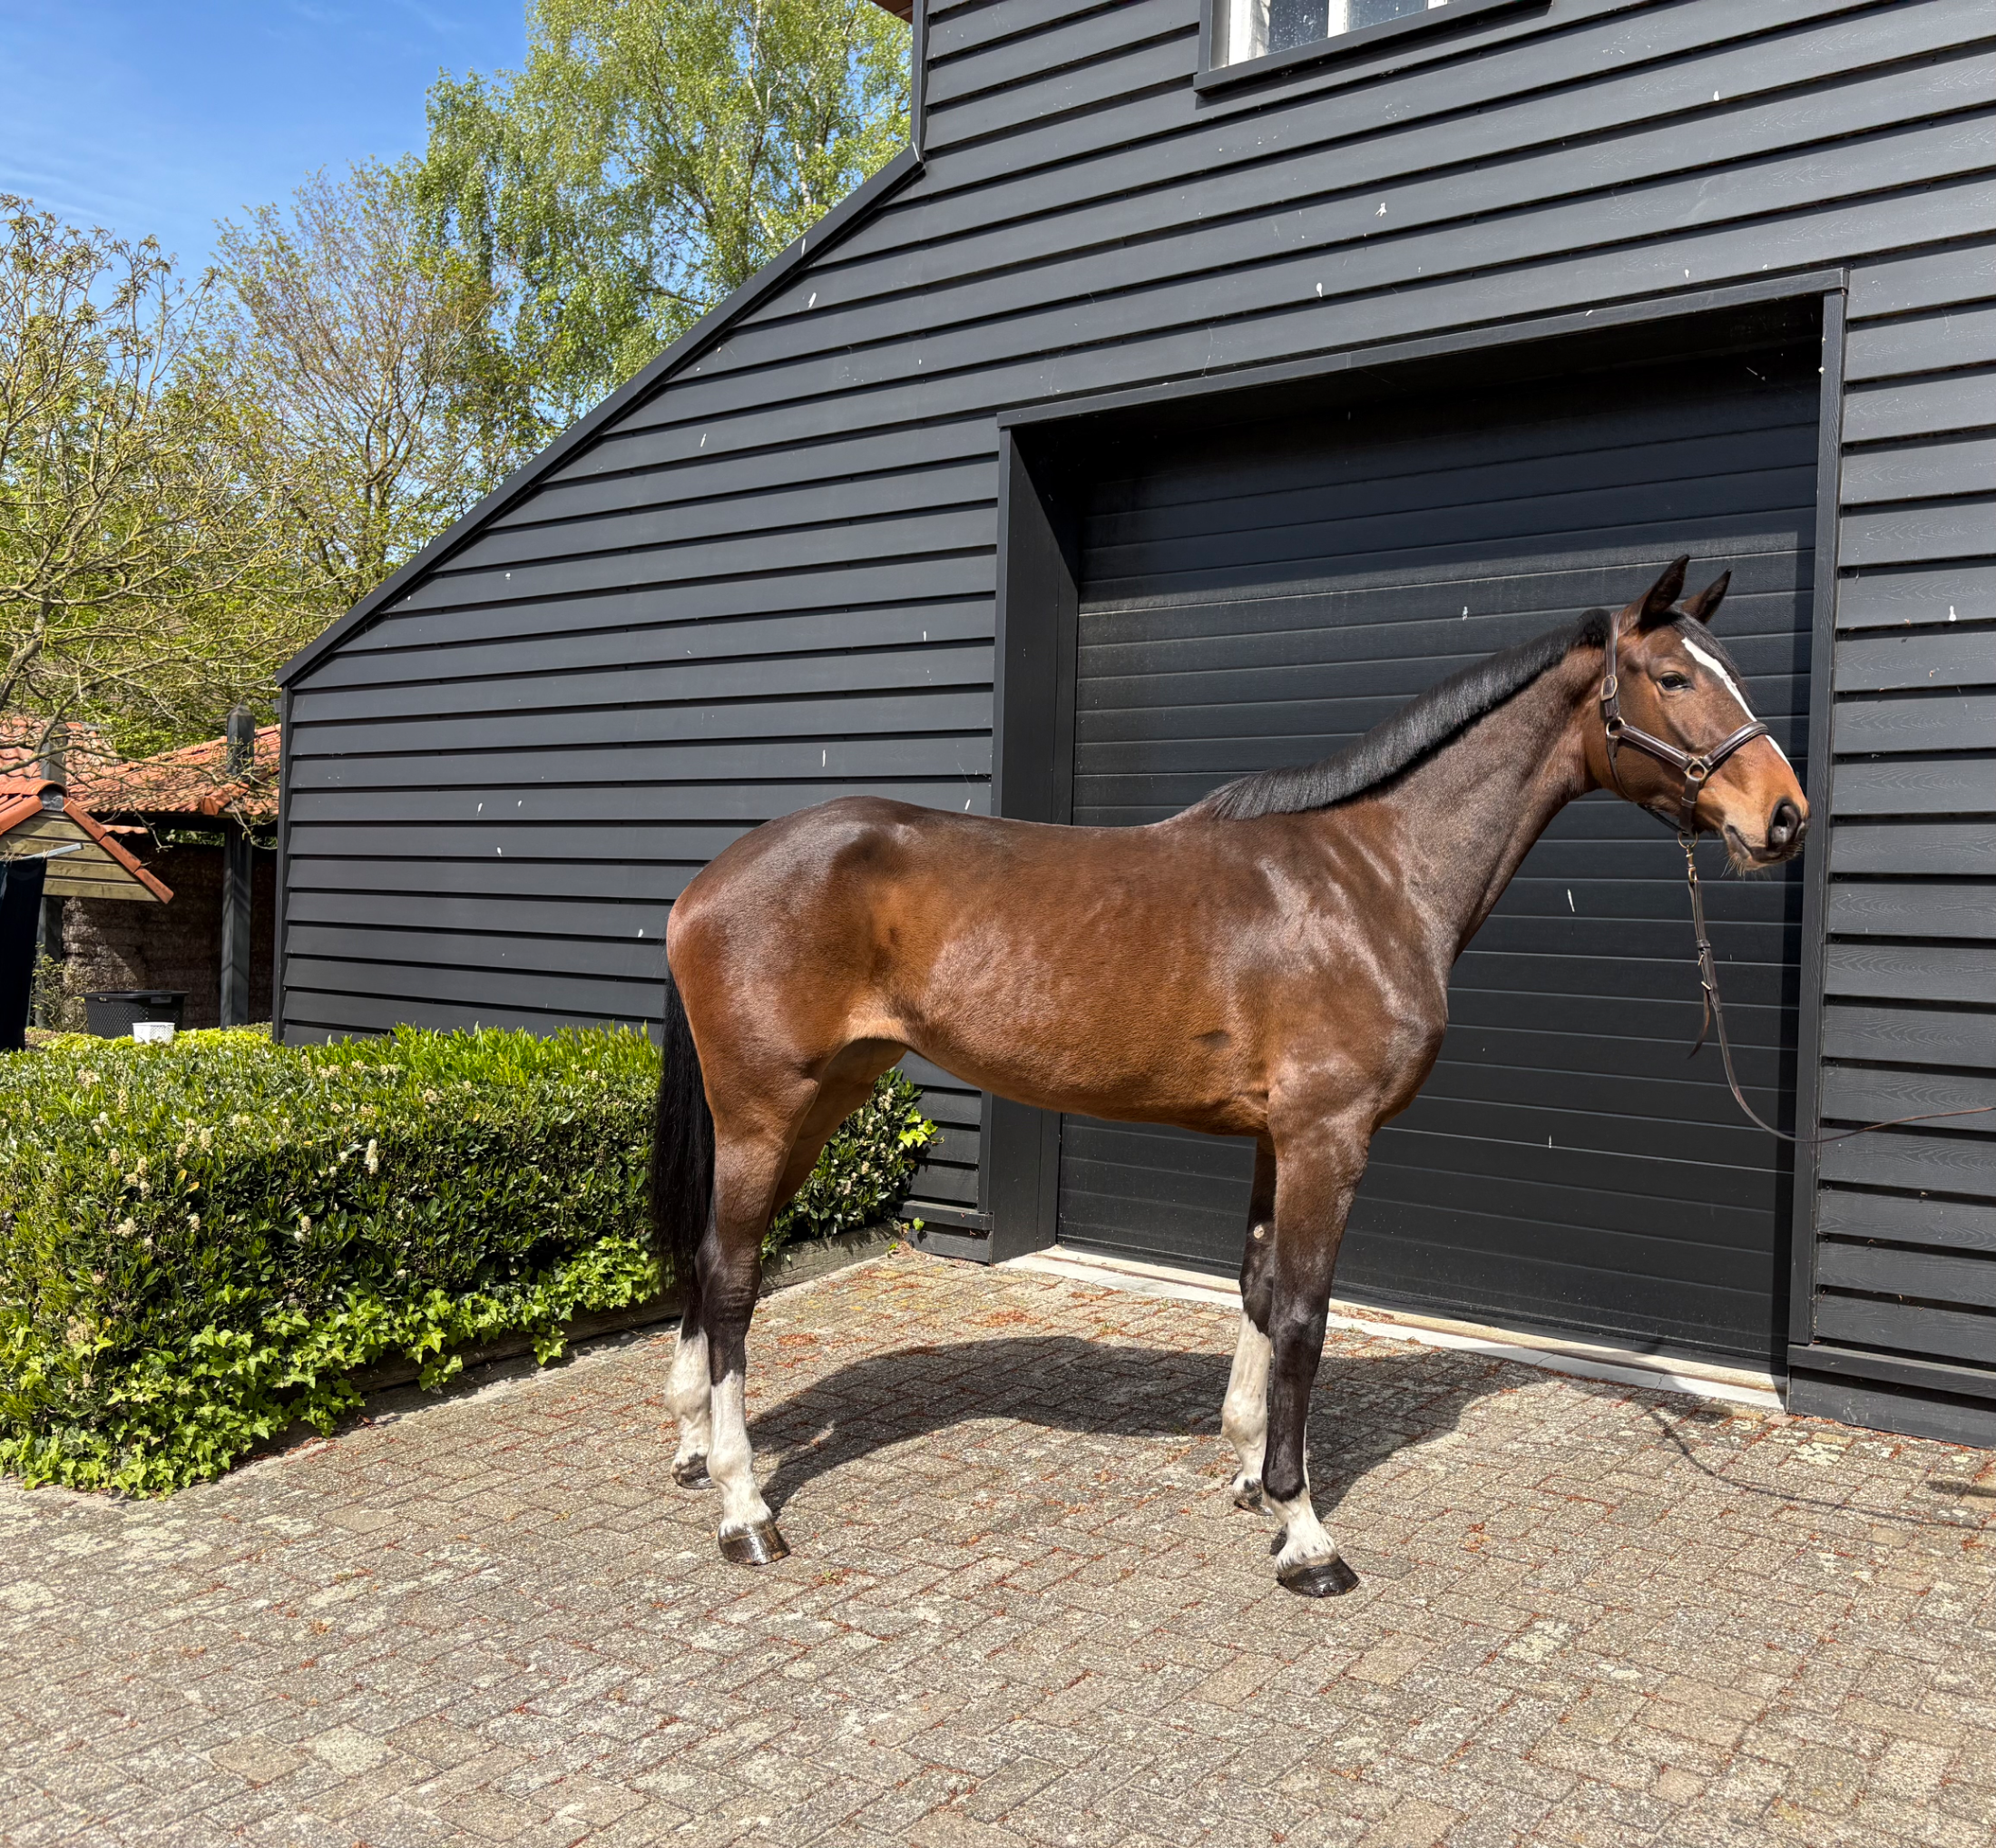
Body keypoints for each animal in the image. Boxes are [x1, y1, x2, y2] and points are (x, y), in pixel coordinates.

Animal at [650, 556, 1808, 1597]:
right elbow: (1303, 1315)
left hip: (825, 1099)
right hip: (766, 1109)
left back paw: (694, 1448)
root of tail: (710, 878)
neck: (1372, 876)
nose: (1784, 818)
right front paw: (1305, 1534)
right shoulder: (1327, 1138)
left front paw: (1252, 1473)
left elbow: (1255, 1294)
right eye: (1673, 679)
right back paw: (745, 1510)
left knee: (713, 1262)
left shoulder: (1274, 1138)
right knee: (735, 1277)